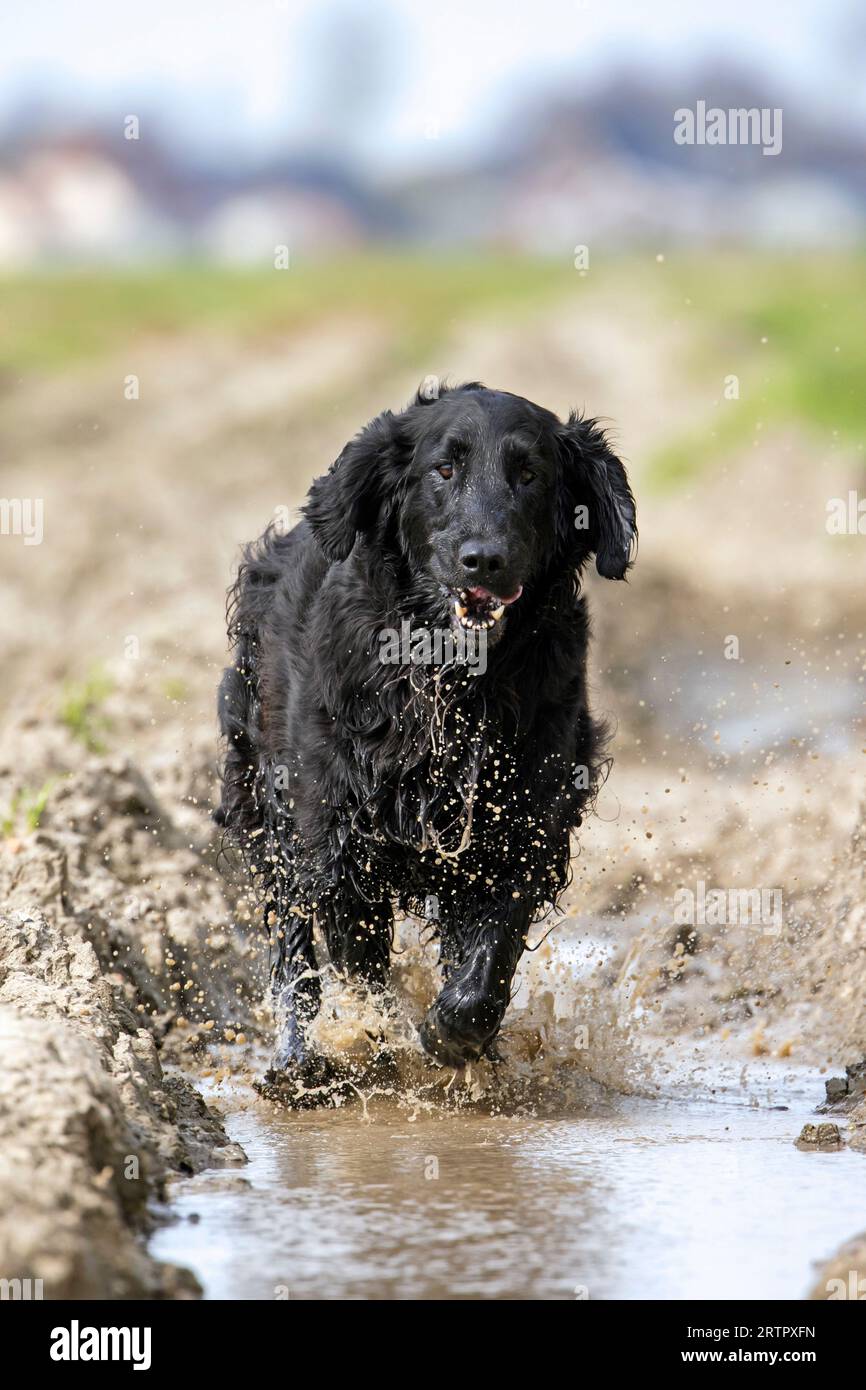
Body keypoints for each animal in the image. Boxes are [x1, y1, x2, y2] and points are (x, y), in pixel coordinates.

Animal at [216, 380, 636, 1084]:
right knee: (293, 944)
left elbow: (486, 961)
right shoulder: (337, 835)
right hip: (268, 797)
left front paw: (458, 1036)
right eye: (444, 470)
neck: (452, 679)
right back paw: (298, 1062)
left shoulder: (522, 824)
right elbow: (361, 966)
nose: (484, 560)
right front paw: (380, 1044)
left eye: (530, 474)